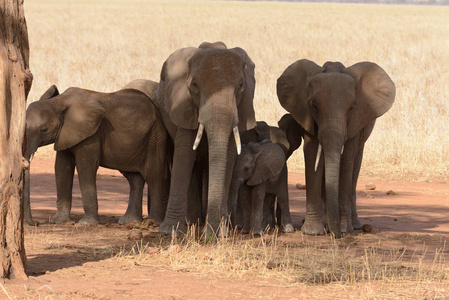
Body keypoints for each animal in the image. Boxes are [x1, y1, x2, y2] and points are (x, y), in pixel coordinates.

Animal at [25, 79, 171, 225]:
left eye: (44, 130)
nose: (36, 223)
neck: (59, 101)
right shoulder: (65, 134)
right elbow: (62, 168)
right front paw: (58, 221)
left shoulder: (92, 134)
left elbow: (85, 167)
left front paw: (86, 223)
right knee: (134, 178)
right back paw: (129, 221)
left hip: (155, 138)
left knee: (154, 177)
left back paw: (152, 222)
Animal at [151, 41, 256, 237]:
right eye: (195, 85)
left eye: (240, 85)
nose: (208, 236)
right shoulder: (184, 105)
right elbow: (184, 155)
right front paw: (171, 231)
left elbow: (228, 158)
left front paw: (221, 232)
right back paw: (191, 222)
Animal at [274, 59, 394, 238]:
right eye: (314, 106)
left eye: (352, 107)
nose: (337, 236)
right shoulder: (307, 116)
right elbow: (312, 153)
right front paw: (313, 232)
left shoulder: (356, 121)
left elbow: (347, 159)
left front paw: (344, 229)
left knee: (355, 166)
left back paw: (354, 225)